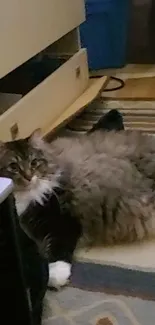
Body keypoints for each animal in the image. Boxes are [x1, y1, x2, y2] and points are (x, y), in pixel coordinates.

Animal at [0, 117, 155, 288]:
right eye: (13, 167)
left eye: (34, 163)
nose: (28, 177)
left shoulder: (62, 221)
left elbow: (58, 253)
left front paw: (55, 275)